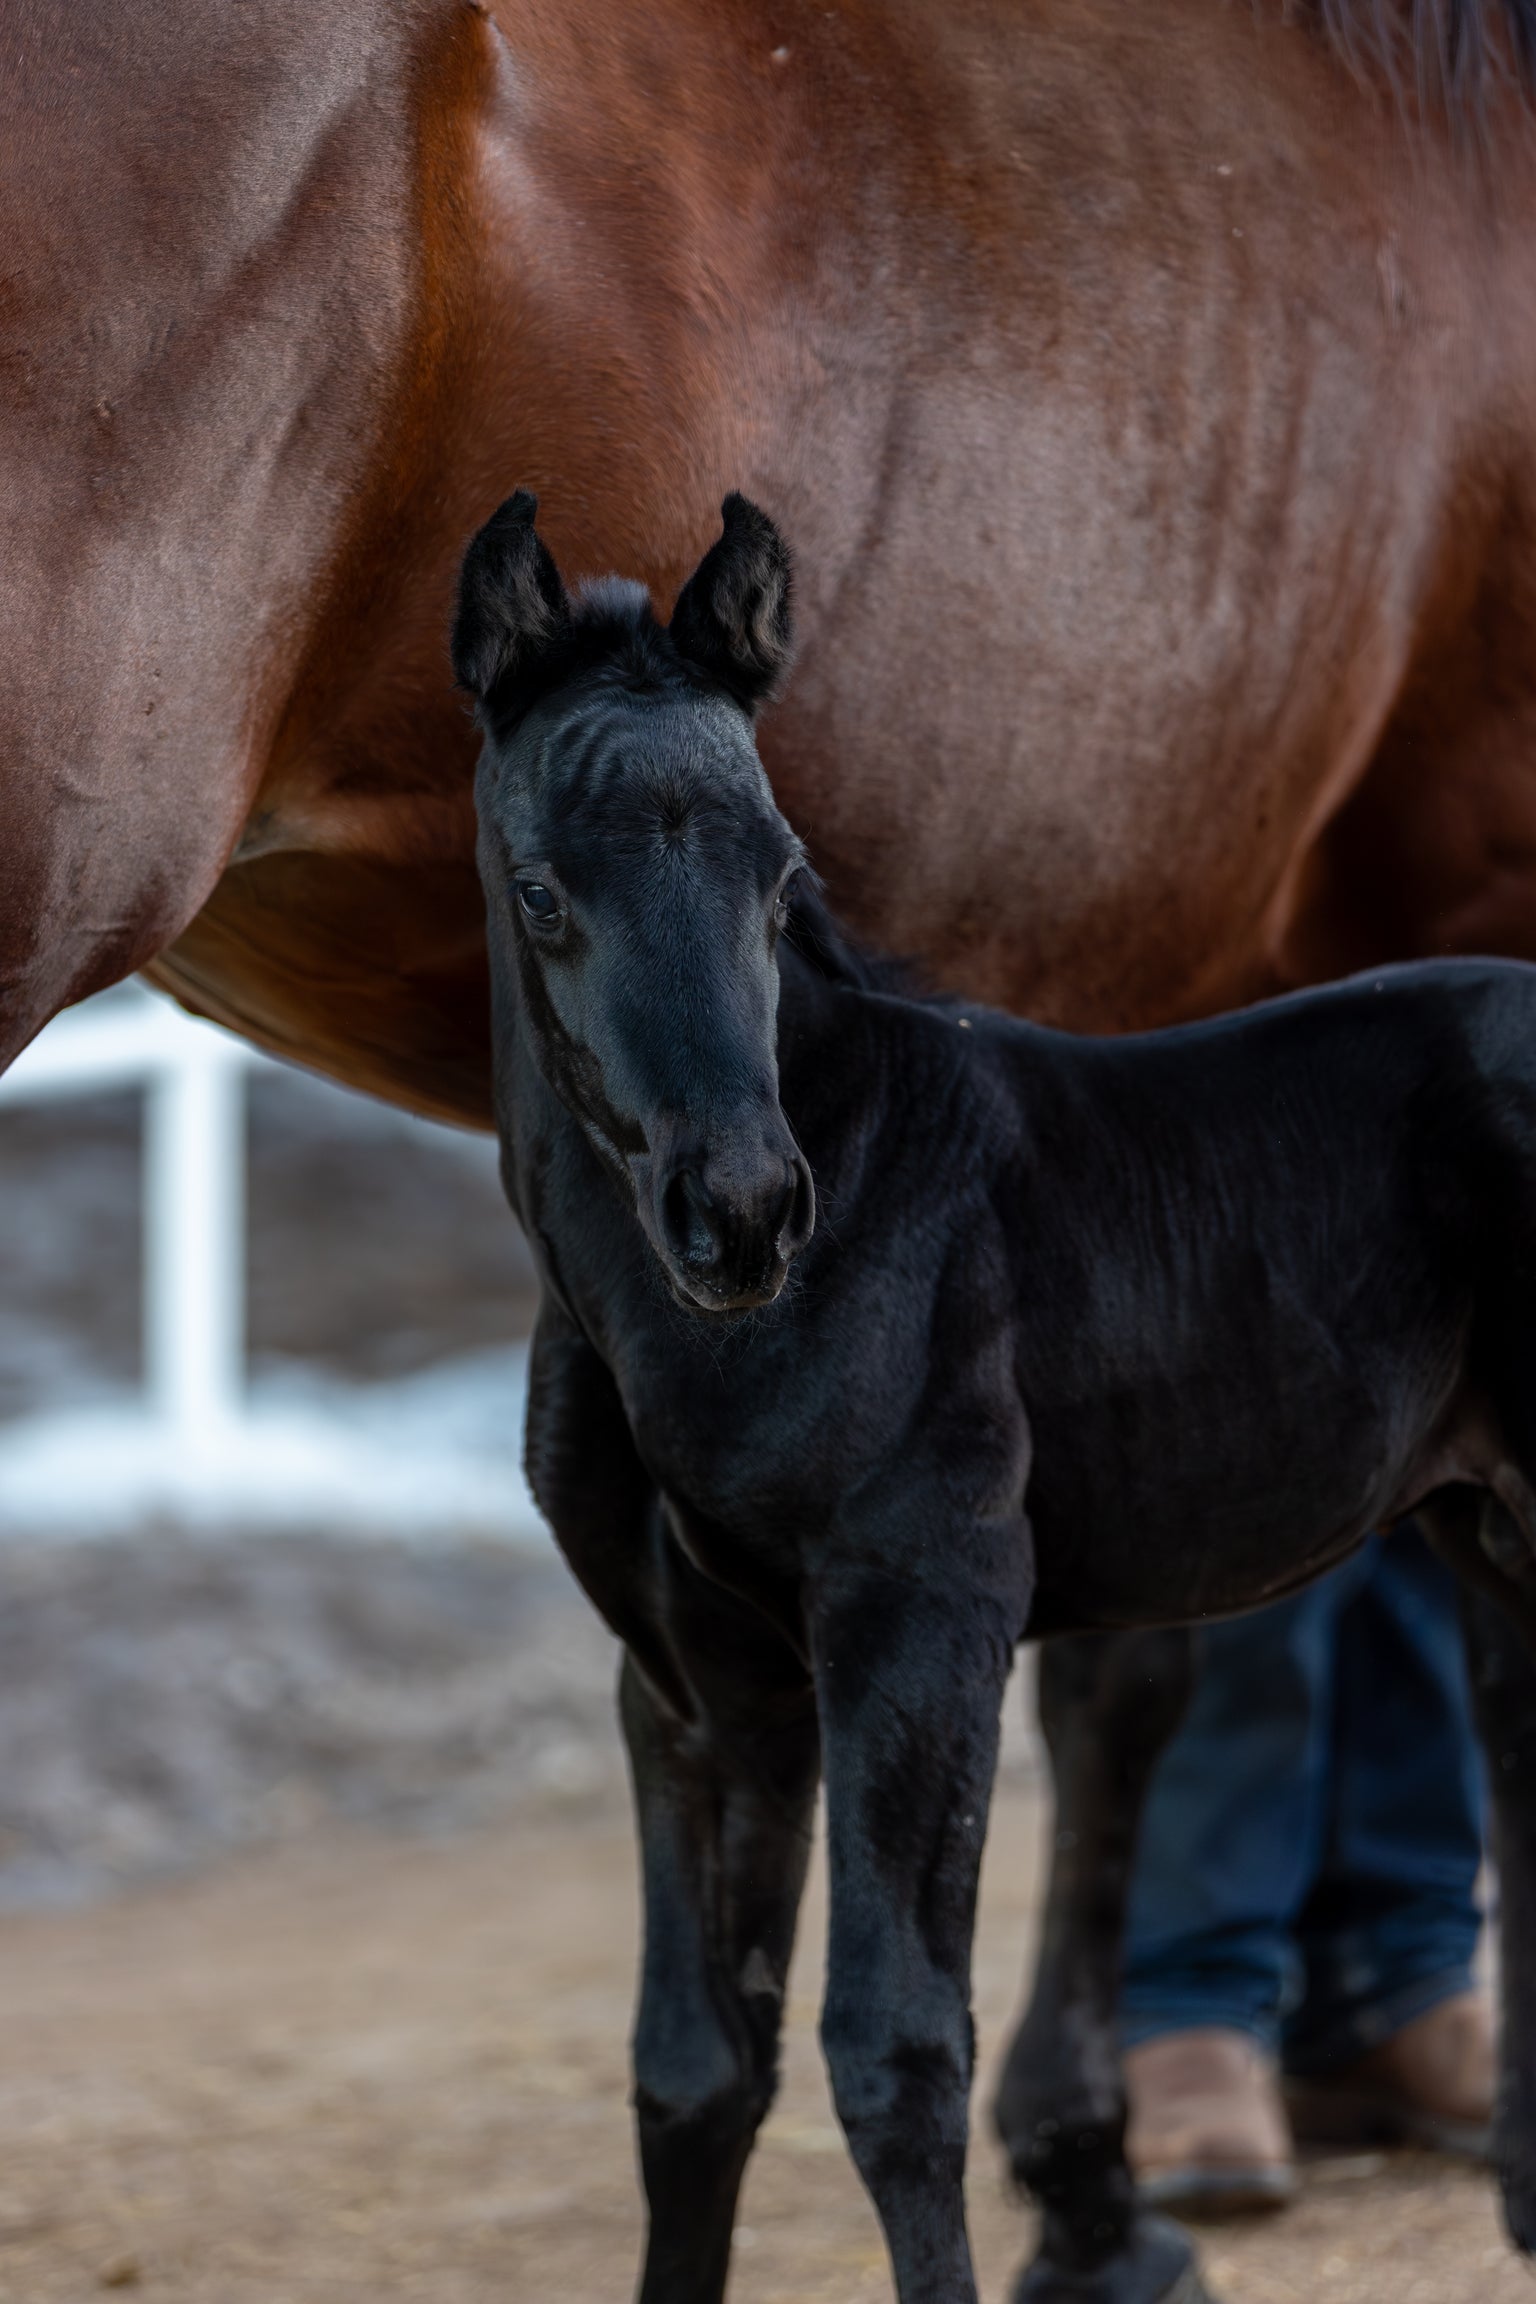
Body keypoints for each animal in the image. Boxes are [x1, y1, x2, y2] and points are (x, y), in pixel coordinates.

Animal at [455, 485, 1536, 2304]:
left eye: (782, 876)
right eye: (542, 892)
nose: (743, 1207)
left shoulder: (923, 1611)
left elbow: (896, 2054)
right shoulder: (688, 1680)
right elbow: (694, 2068)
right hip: (1491, 1525)